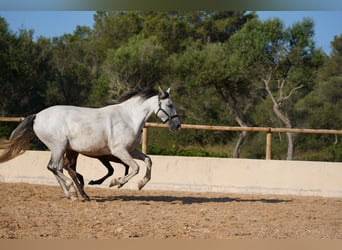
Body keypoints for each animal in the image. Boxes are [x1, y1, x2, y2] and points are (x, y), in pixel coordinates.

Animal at [0, 87, 182, 200]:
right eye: (170, 104)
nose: (177, 125)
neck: (129, 118)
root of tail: (37, 116)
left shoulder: (130, 150)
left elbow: (148, 160)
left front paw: (141, 184)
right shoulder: (119, 151)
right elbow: (135, 168)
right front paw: (116, 182)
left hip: (63, 149)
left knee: (60, 168)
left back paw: (72, 194)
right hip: (58, 146)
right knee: (54, 167)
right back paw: (73, 191)